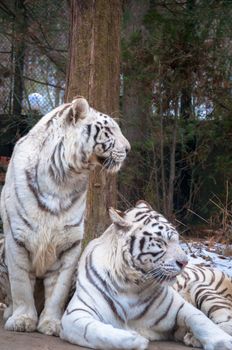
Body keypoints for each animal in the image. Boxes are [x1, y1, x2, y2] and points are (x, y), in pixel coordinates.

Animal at [0, 96, 130, 336]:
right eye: (109, 130)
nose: (128, 149)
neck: (62, 179)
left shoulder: (70, 243)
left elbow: (58, 290)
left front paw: (52, 323)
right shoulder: (17, 239)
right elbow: (21, 284)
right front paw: (22, 320)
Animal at [60, 200, 232, 350]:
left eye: (177, 239)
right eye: (160, 241)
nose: (184, 262)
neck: (130, 284)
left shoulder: (180, 307)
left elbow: (201, 320)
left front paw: (223, 342)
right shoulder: (76, 314)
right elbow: (97, 332)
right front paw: (136, 339)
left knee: (226, 321)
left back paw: (193, 338)